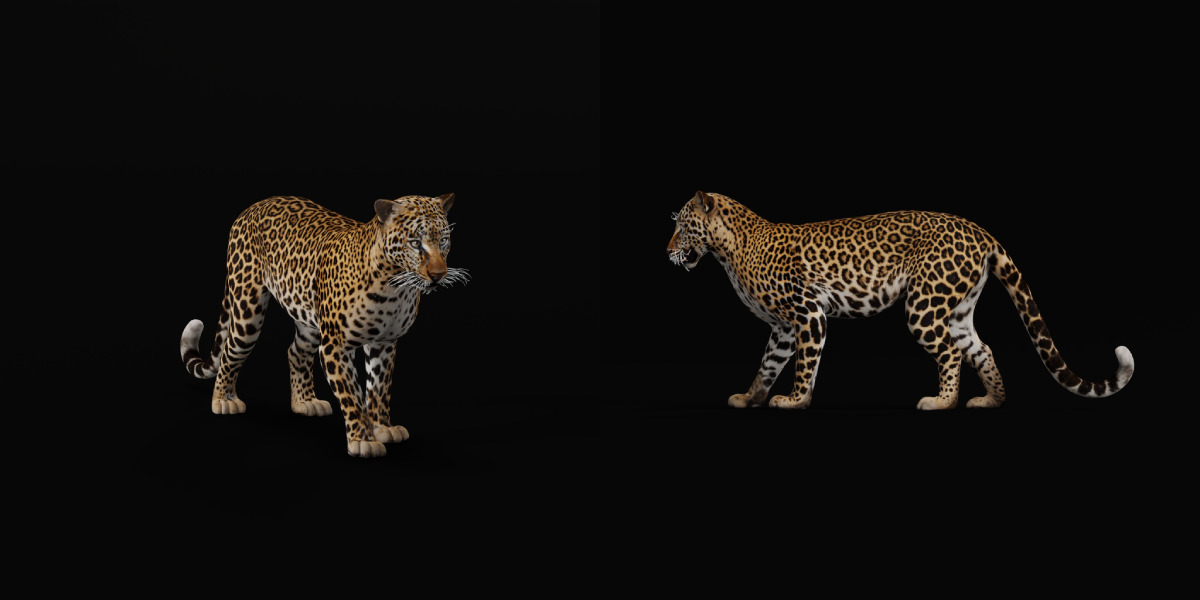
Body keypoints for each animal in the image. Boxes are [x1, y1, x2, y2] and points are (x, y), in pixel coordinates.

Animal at [180, 194, 468, 457]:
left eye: (444, 240)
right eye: (415, 243)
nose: (438, 275)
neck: (396, 287)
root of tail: (251, 208)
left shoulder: (384, 344)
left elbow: (379, 389)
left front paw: (383, 427)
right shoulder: (336, 346)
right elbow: (352, 395)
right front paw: (362, 440)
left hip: (309, 322)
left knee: (295, 352)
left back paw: (305, 402)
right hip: (247, 309)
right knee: (231, 351)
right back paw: (223, 399)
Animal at [666, 190, 1135, 410]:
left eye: (683, 226)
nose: (667, 250)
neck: (727, 250)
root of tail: (981, 231)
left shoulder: (808, 314)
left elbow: (803, 364)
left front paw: (795, 400)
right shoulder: (783, 327)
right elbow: (766, 365)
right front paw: (751, 398)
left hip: (924, 304)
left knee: (950, 352)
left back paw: (942, 401)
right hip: (957, 307)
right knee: (981, 348)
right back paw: (991, 400)